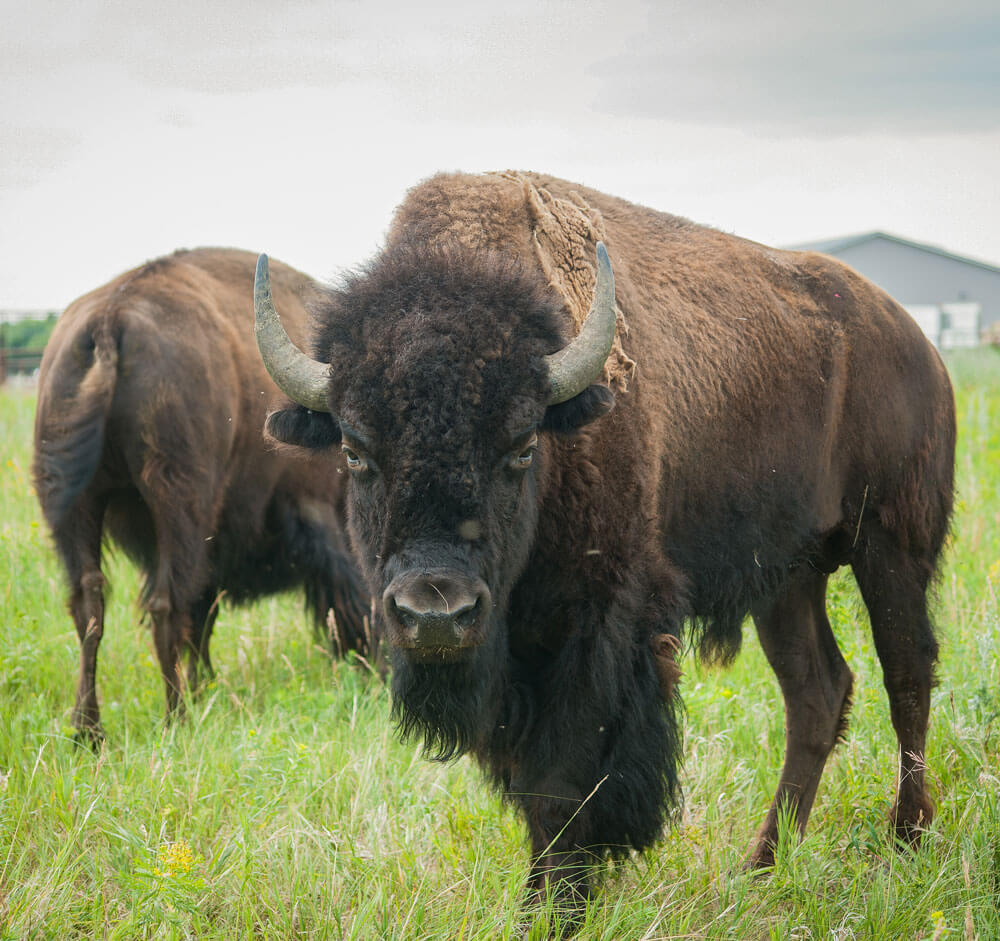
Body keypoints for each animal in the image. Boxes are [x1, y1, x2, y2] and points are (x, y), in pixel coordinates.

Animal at [34, 248, 372, 742]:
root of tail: (110, 319)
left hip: (73, 505)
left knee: (90, 606)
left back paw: (88, 732)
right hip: (177, 502)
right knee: (165, 606)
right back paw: (177, 719)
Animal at [255, 172, 955, 910]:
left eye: (521, 444)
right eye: (355, 450)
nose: (436, 612)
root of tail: (916, 341)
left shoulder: (600, 629)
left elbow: (564, 782)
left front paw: (554, 905)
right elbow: (531, 786)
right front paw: (541, 899)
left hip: (890, 546)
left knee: (907, 672)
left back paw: (906, 837)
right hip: (788, 579)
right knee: (816, 691)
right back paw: (763, 865)